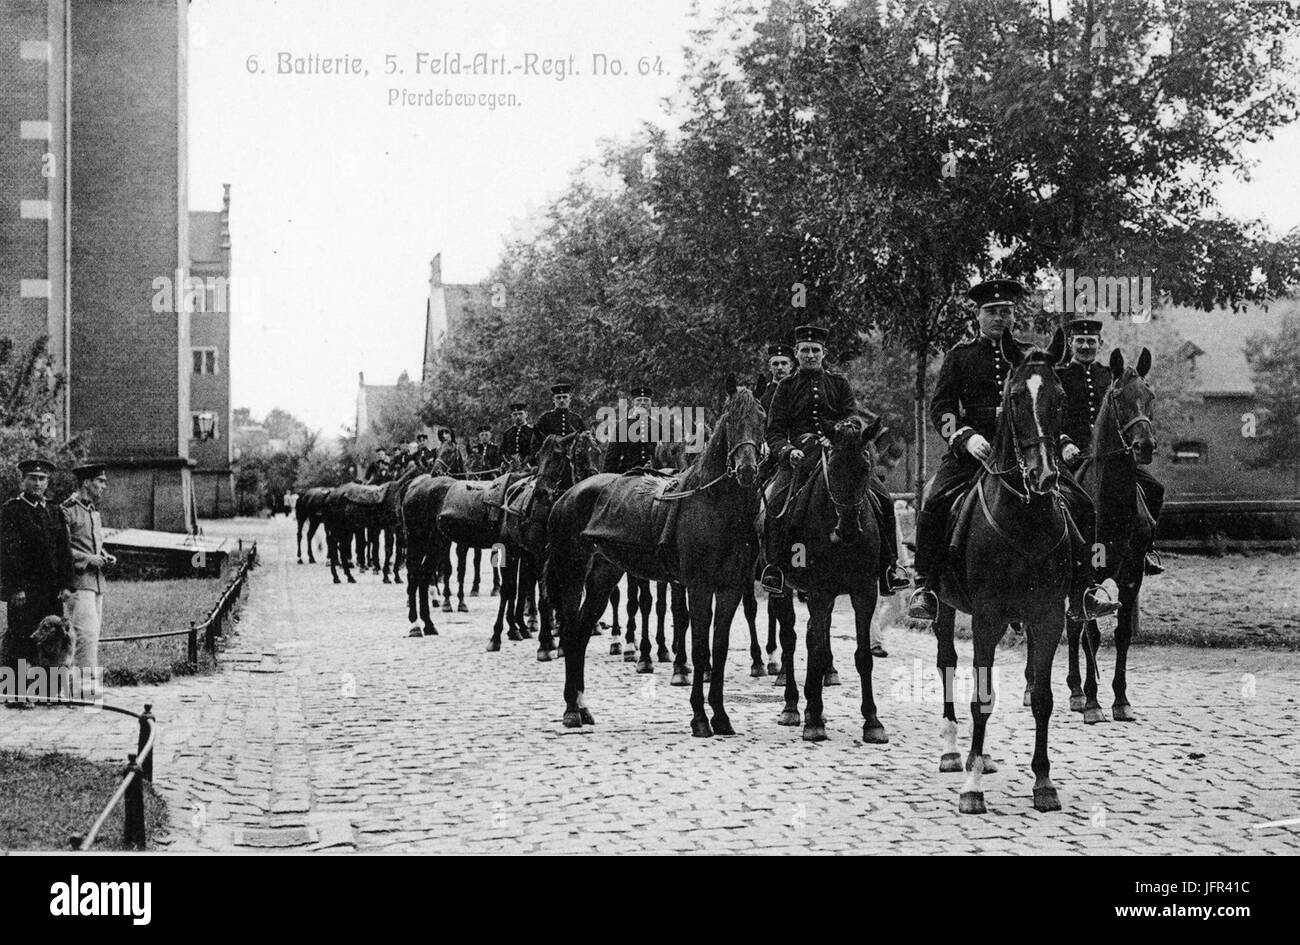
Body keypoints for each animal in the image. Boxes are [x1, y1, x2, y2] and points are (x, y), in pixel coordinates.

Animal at [546, 376, 759, 738]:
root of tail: (568, 495)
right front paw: (699, 717)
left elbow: (719, 648)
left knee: (582, 632)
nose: (746, 469)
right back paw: (571, 710)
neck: (714, 503)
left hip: (603, 576)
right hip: (572, 573)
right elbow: (699, 647)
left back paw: (582, 707)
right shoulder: (698, 586)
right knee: (573, 631)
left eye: (761, 417)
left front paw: (721, 716)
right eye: (731, 419)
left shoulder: (729, 588)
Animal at [759, 418, 889, 743]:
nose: (847, 531)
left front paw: (872, 721)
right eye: (834, 466)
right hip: (783, 589)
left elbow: (862, 655)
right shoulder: (819, 591)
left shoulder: (864, 592)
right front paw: (814, 718)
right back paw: (793, 706)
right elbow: (814, 648)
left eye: (865, 466)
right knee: (791, 639)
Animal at [935, 328, 1076, 816]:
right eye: (1014, 397)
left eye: (1059, 396)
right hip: (943, 607)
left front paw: (1044, 782)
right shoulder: (986, 617)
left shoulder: (1047, 616)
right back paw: (955, 751)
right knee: (947, 662)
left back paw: (982, 755)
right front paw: (971, 786)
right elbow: (980, 698)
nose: (1045, 475)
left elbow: (1042, 698)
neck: (1024, 517)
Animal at [1045, 348, 1159, 722]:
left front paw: (1120, 700)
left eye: (1150, 396)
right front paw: (1093, 702)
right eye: (1119, 396)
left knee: (1072, 624)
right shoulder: (1088, 577)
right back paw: (1069, 692)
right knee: (1069, 626)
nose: (1144, 445)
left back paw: (1076, 691)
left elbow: (1121, 634)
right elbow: (1090, 635)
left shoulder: (1131, 575)